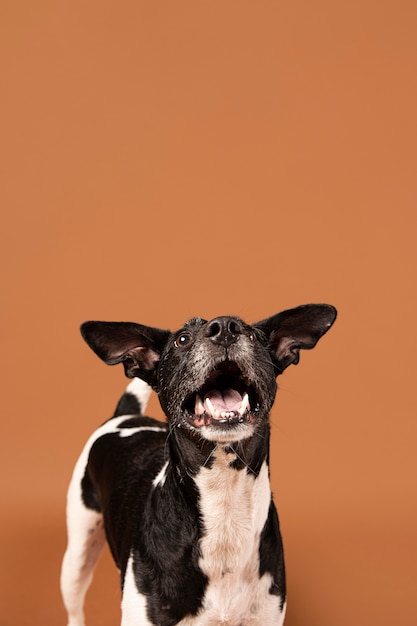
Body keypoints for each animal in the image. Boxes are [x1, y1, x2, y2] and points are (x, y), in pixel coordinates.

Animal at [61, 302, 334, 624]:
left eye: (253, 336)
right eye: (182, 339)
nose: (225, 327)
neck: (223, 502)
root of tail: (125, 416)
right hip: (76, 558)